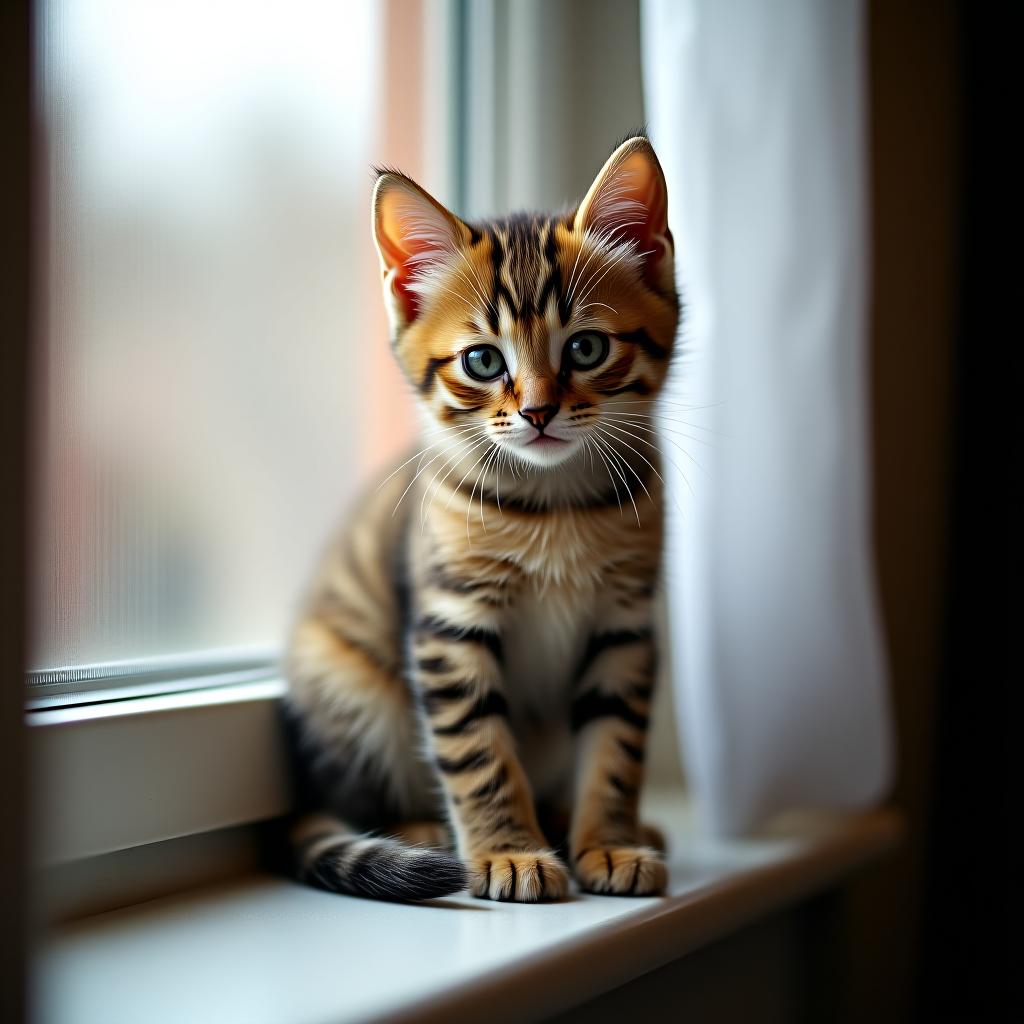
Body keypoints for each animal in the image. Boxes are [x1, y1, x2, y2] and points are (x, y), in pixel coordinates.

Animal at [282, 132, 679, 901]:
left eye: (586, 347)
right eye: (482, 361)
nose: (538, 412)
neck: (557, 506)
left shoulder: (625, 625)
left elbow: (616, 746)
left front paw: (609, 840)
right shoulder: (451, 623)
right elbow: (476, 750)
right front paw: (509, 852)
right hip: (346, 682)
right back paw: (422, 831)